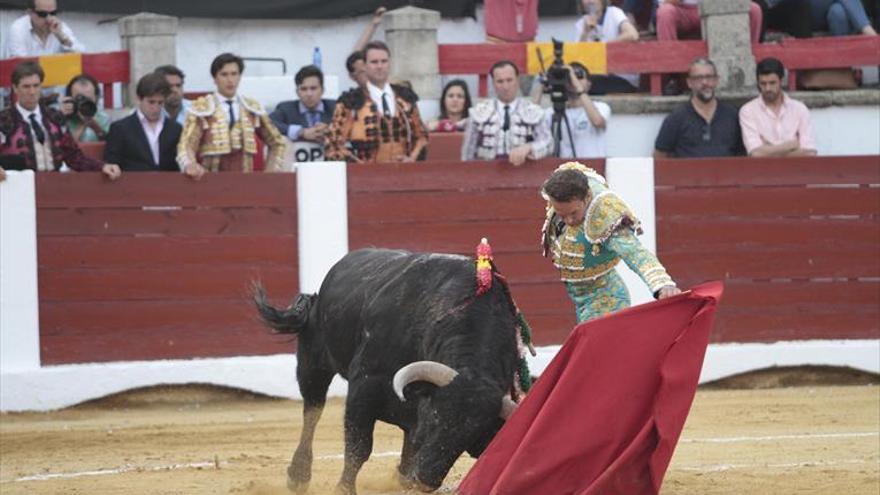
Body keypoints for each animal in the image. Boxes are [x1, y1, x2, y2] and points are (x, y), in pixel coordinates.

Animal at [251, 250, 520, 495]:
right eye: (435, 417)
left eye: (472, 436)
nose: (425, 480)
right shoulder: (364, 387)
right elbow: (358, 448)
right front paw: (344, 489)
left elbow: (409, 445)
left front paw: (405, 478)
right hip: (313, 362)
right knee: (312, 411)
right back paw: (298, 476)